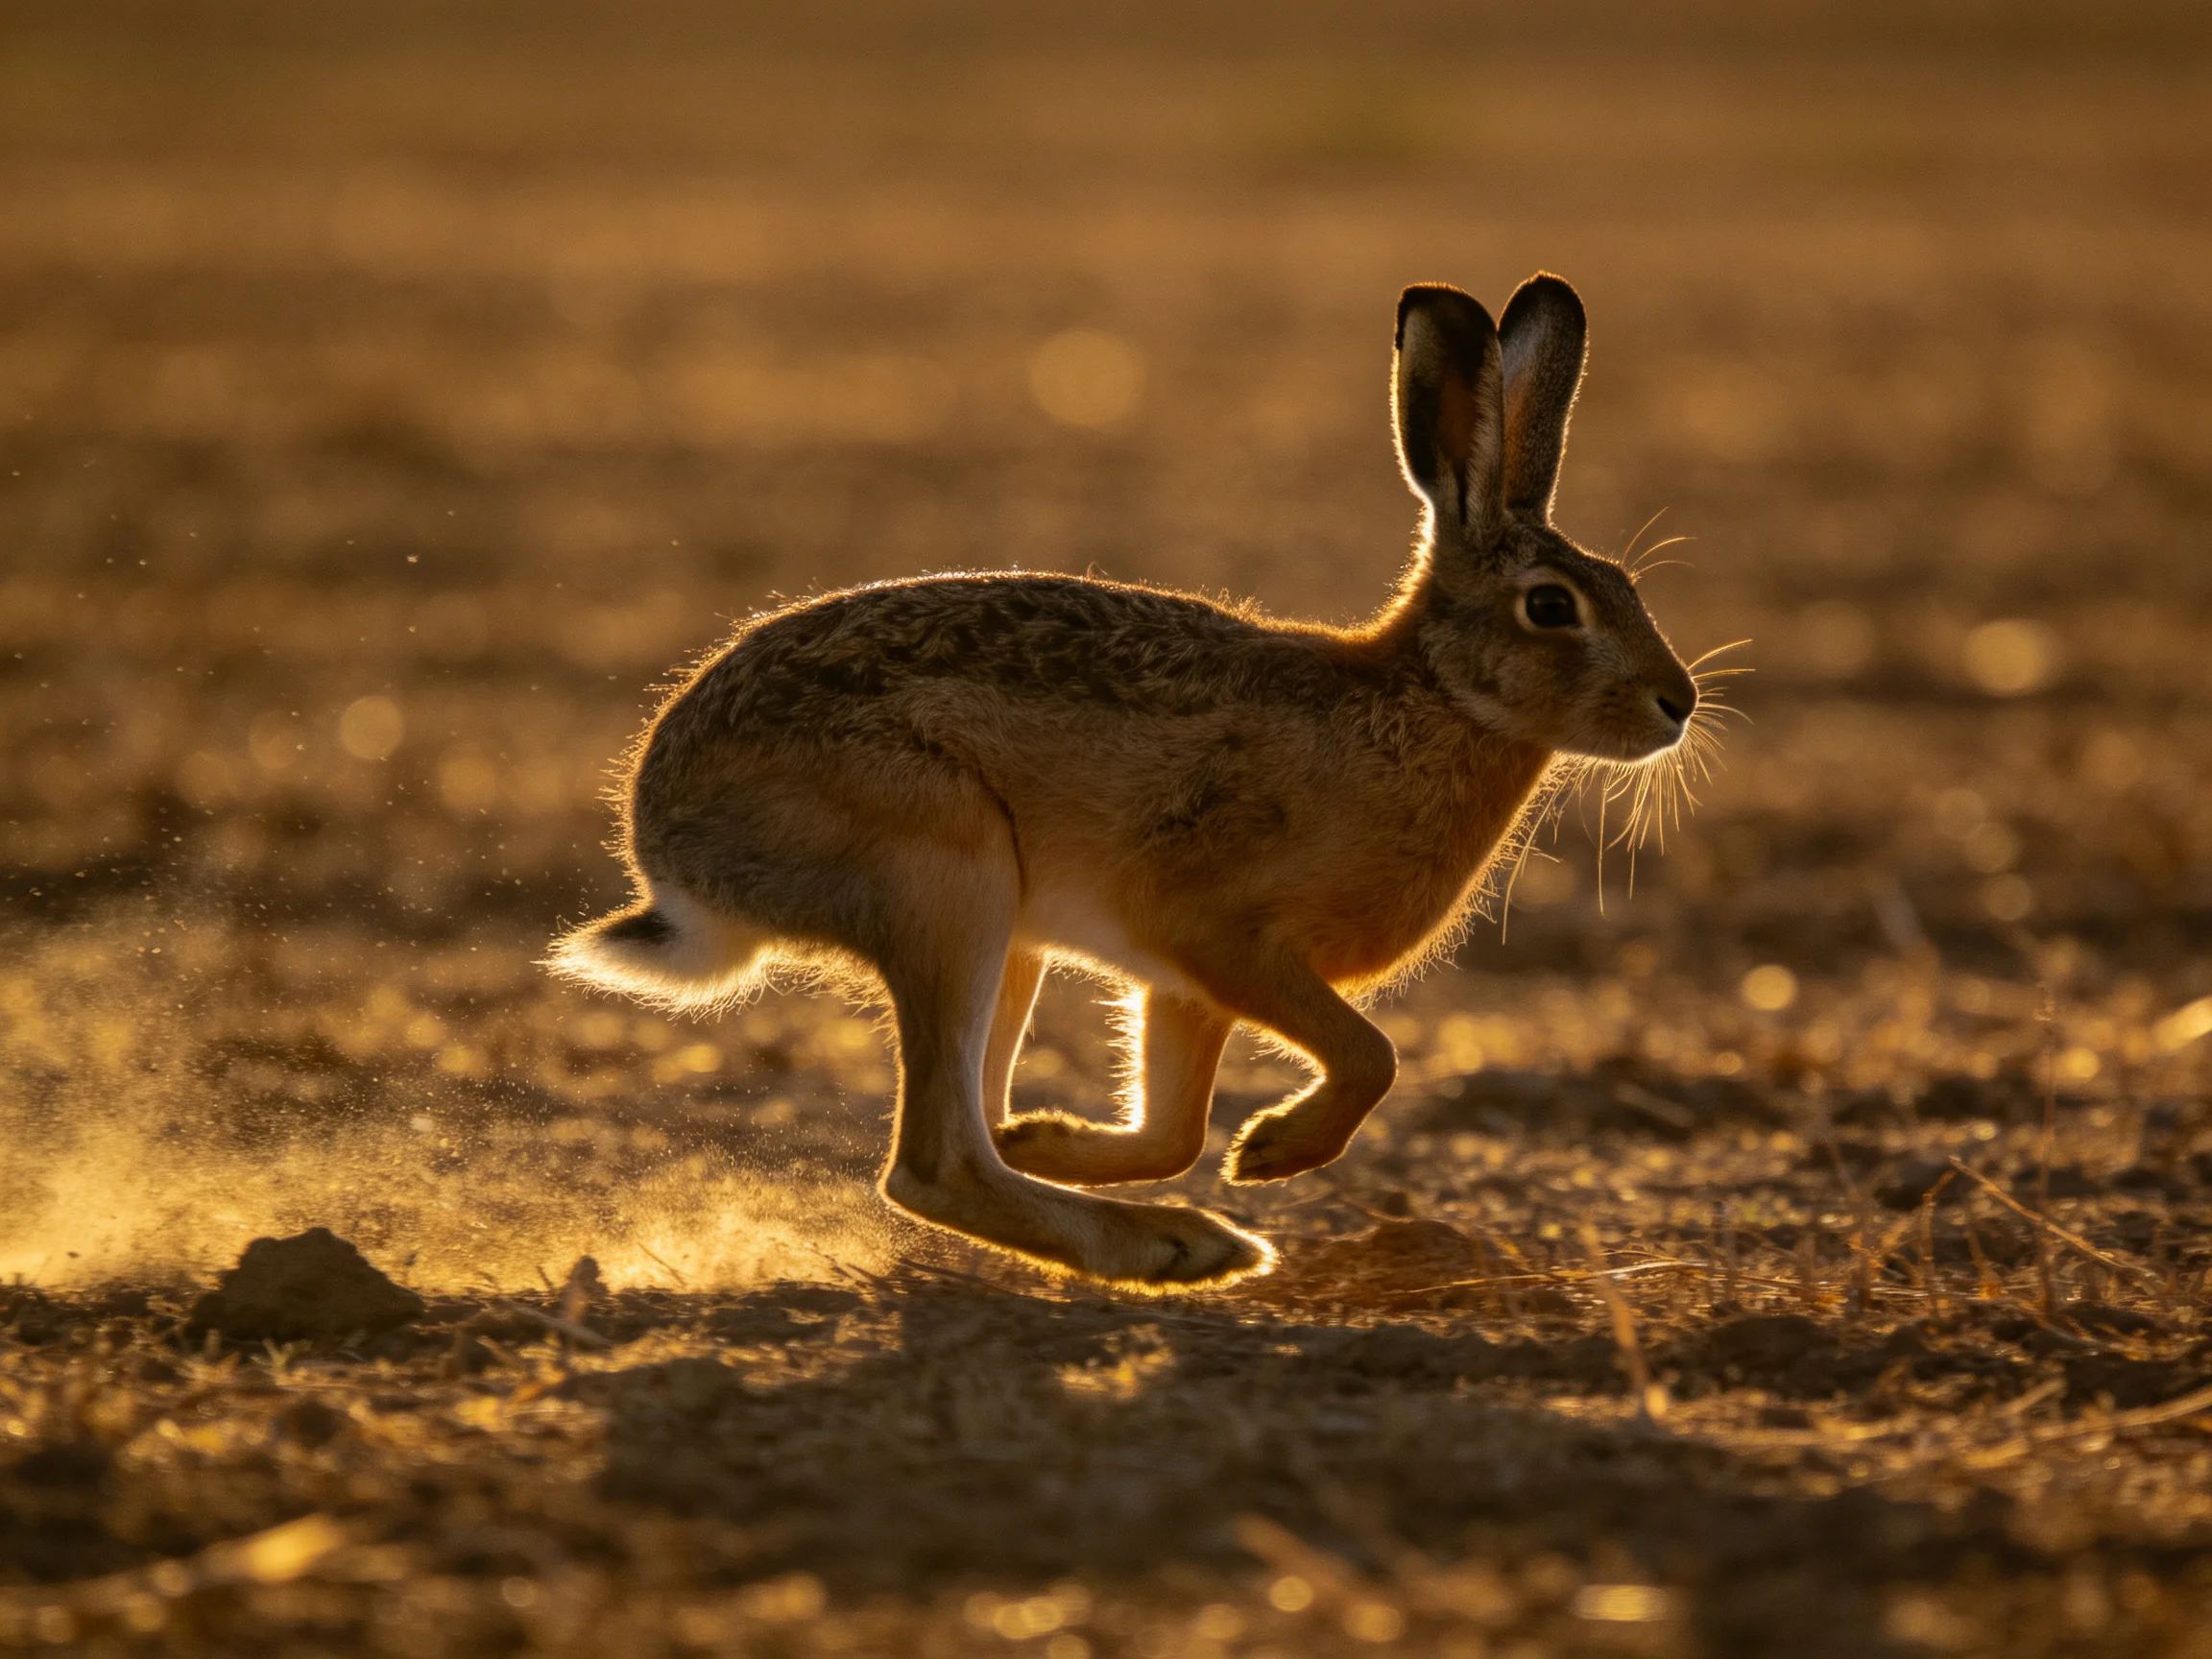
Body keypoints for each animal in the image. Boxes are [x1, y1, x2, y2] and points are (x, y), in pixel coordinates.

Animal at [548, 274, 1701, 1290]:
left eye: (1628, 587)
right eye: (1551, 607)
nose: (1677, 703)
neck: (1434, 700)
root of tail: (668, 849)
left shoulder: (1181, 983)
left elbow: (1175, 1128)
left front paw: (1070, 1137)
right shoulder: (1215, 933)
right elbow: (1371, 1056)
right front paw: (1275, 1152)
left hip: (996, 931)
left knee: (967, 1131)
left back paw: (1083, 1180)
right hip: (944, 874)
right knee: (932, 1164)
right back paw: (1176, 1251)